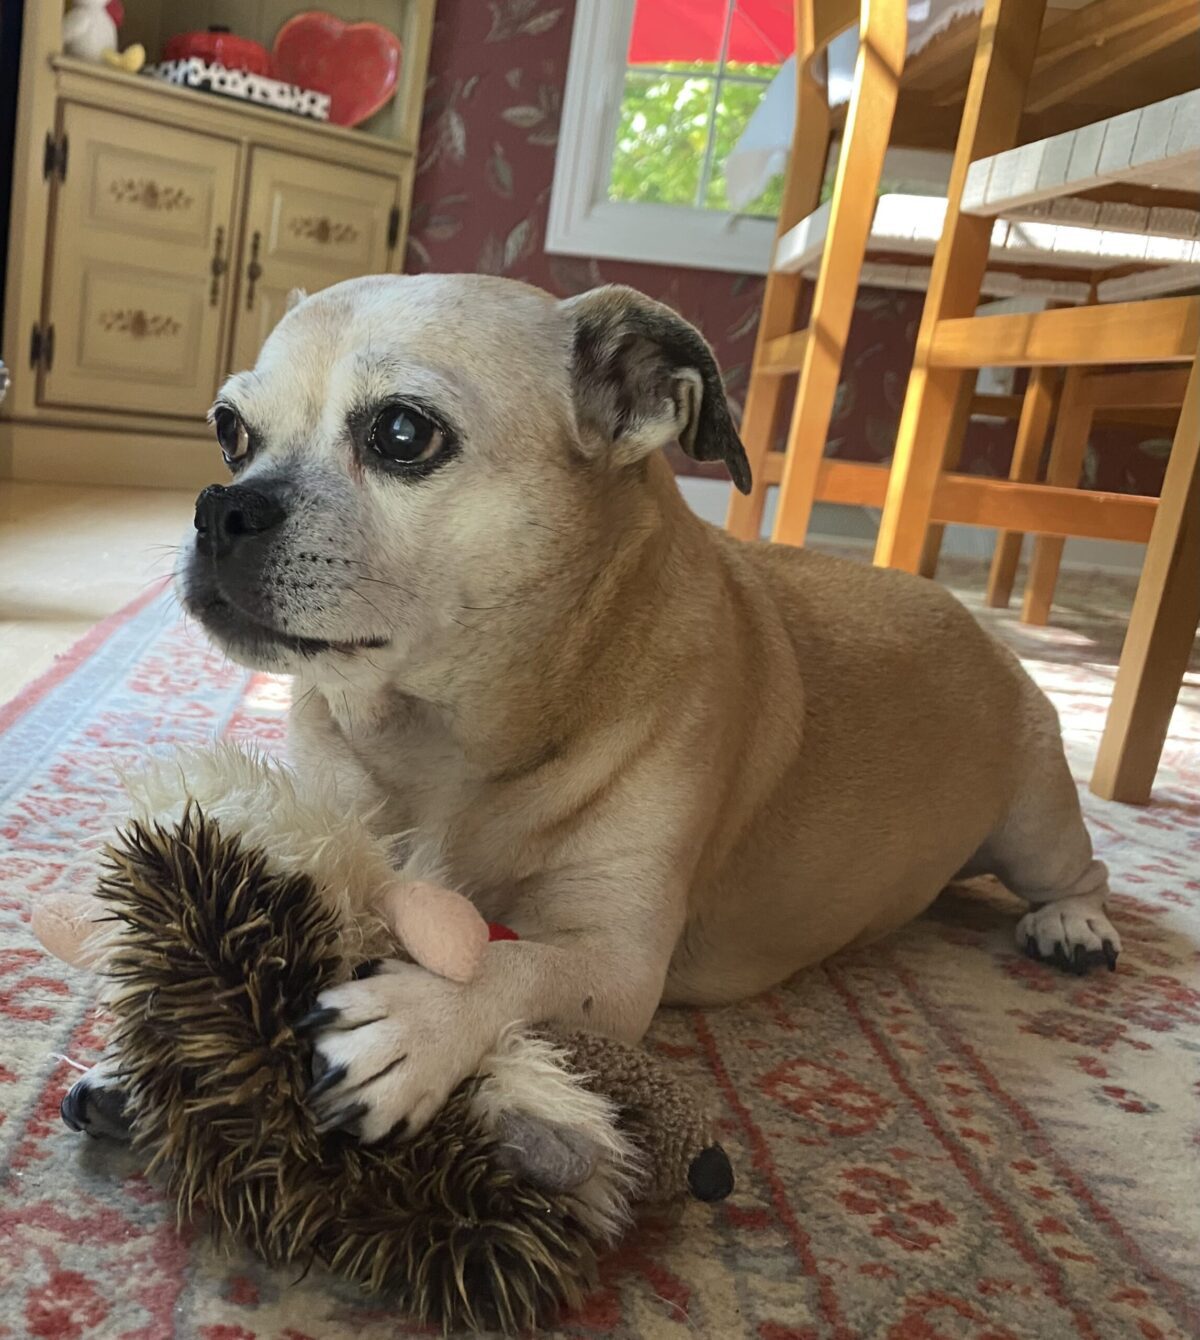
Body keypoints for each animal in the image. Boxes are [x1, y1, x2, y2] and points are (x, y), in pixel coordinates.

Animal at [65, 274, 1119, 1144]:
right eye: (229, 430)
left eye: (402, 433)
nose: (219, 506)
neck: (441, 737)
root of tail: (975, 622)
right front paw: (164, 1041)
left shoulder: (615, 963)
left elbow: (520, 967)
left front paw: (418, 1023)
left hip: (1034, 824)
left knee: (1087, 869)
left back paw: (1075, 927)